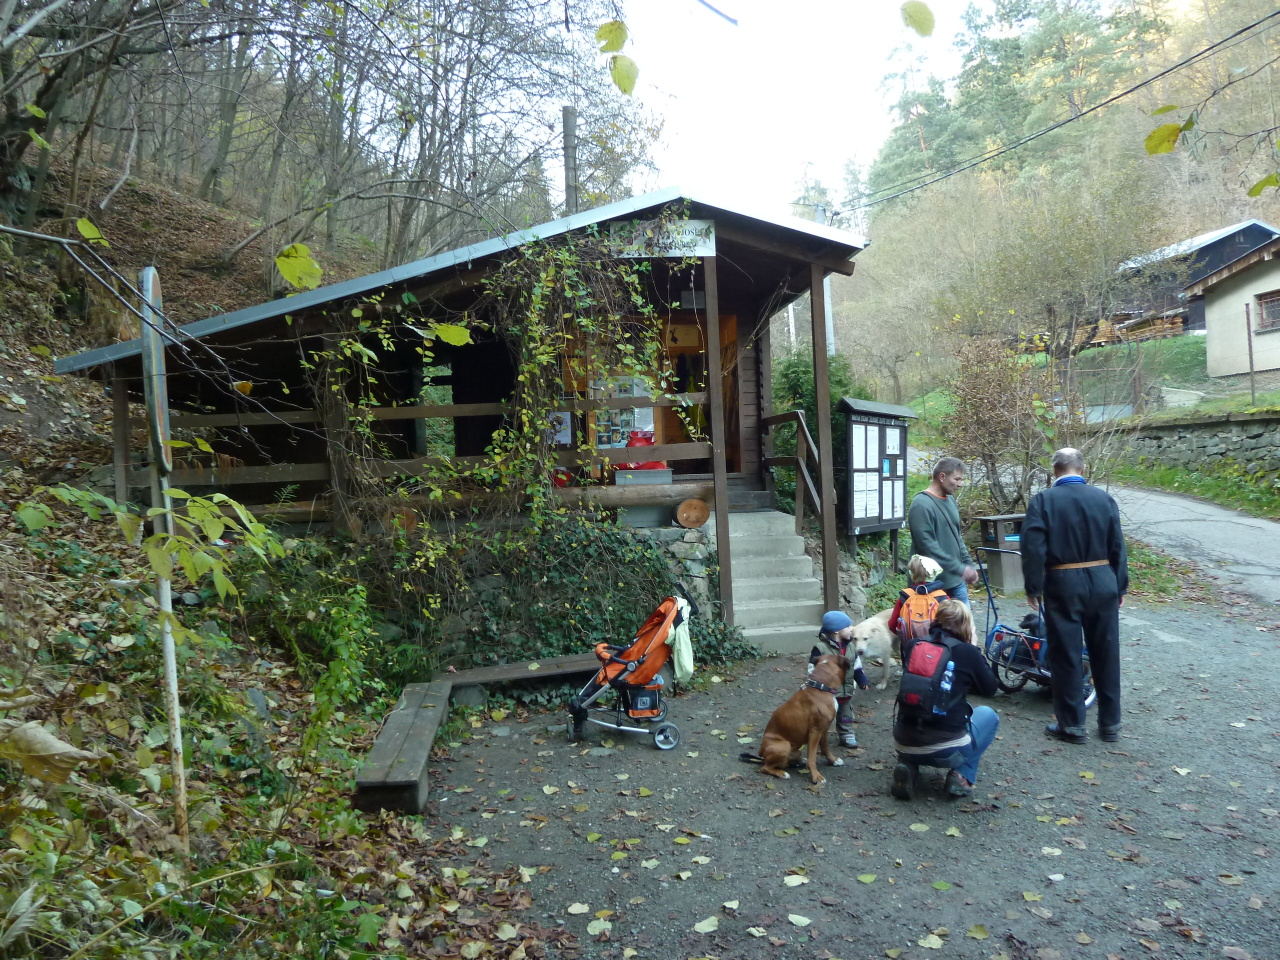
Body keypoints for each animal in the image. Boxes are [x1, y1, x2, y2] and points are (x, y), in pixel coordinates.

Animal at [745, 654, 849, 785]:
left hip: (795, 749)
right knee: (765, 767)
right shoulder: (815, 732)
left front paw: (833, 760)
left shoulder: (824, 730)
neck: (820, 687)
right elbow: (812, 758)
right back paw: (782, 773)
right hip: (784, 745)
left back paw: (798, 761)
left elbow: (825, 748)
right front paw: (816, 776)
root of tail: (761, 752)